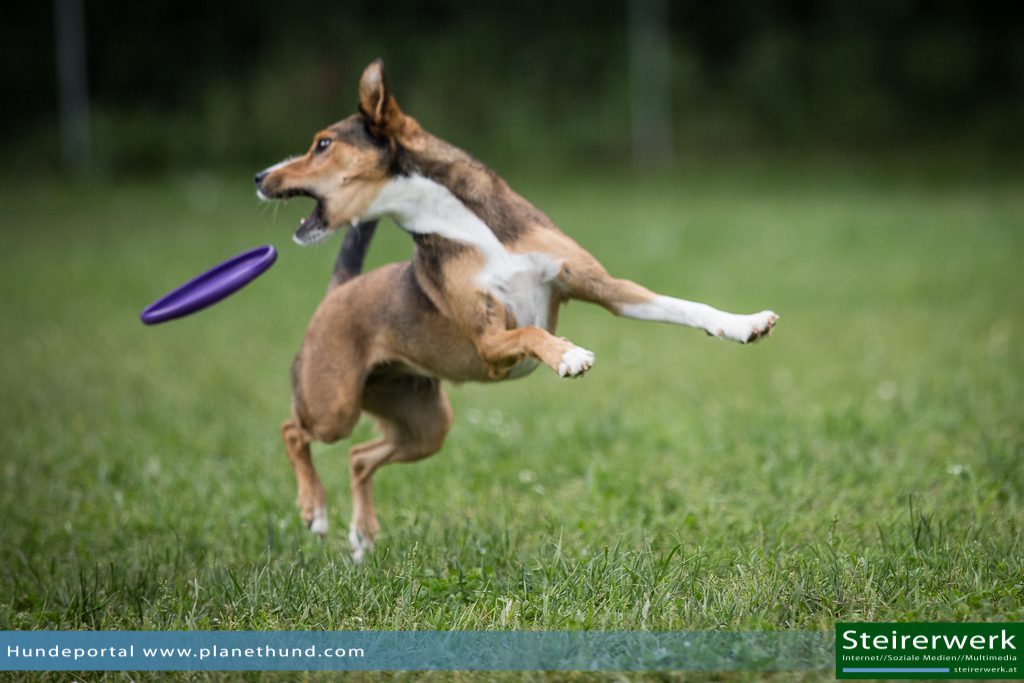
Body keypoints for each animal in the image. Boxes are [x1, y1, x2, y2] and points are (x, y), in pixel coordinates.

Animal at [253, 58, 774, 561]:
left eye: (322, 144)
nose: (259, 177)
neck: (464, 224)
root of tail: (337, 293)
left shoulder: (606, 287)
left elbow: (685, 307)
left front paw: (744, 324)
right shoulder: (489, 342)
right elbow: (531, 334)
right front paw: (568, 355)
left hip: (424, 423)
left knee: (358, 456)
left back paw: (361, 536)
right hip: (333, 404)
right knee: (292, 430)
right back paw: (315, 510)